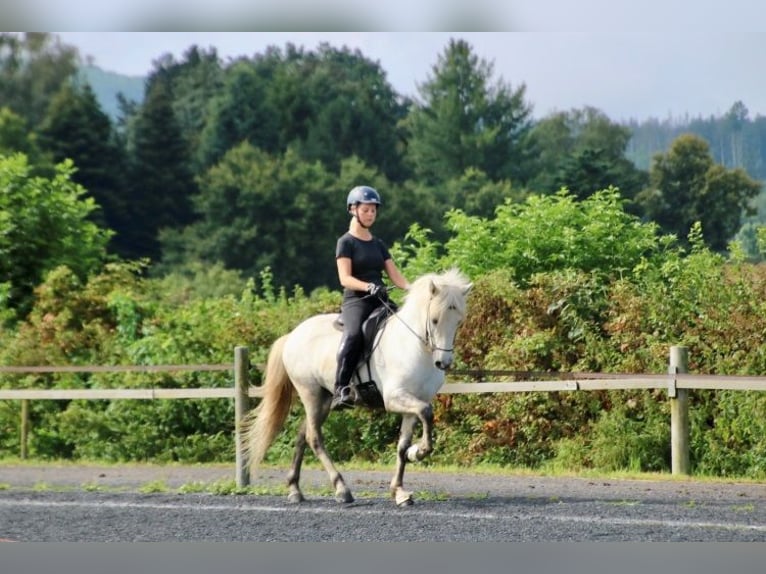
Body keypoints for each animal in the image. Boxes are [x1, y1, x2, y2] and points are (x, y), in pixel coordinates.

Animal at [241, 268, 472, 507]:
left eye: (458, 322)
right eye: (435, 320)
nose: (443, 363)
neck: (414, 347)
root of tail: (292, 335)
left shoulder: (414, 402)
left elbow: (403, 444)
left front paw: (400, 490)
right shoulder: (394, 398)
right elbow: (426, 414)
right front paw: (419, 452)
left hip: (324, 399)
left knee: (303, 434)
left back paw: (295, 489)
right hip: (310, 393)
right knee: (314, 438)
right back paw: (341, 489)